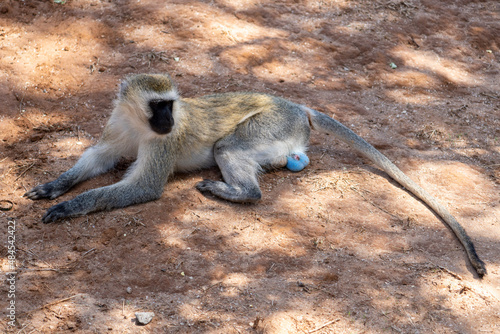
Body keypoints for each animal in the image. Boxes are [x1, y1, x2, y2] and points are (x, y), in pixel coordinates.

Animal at [25, 74, 486, 278]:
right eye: (159, 105)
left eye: (171, 106)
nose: (169, 121)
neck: (141, 125)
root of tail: (298, 108)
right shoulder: (118, 125)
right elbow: (97, 159)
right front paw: (56, 185)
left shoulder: (161, 145)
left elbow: (142, 186)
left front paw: (69, 206)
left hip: (269, 126)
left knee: (228, 150)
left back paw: (236, 192)